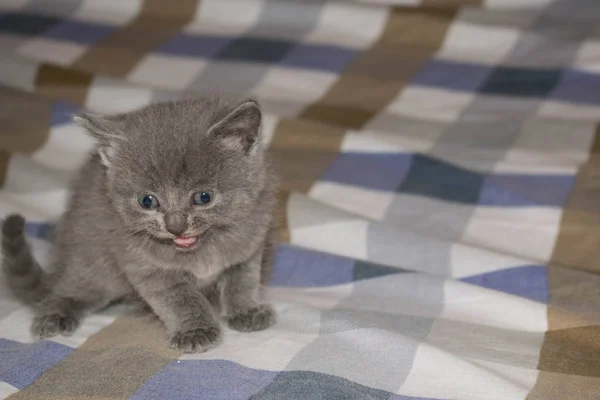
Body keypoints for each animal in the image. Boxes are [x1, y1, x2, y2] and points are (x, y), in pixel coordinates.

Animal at [1, 95, 278, 352]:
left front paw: (246, 311)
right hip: (91, 254)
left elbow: (243, 282)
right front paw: (196, 331)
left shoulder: (250, 247)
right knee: (74, 285)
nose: (175, 226)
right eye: (147, 201)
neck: (201, 250)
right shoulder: (144, 265)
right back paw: (56, 313)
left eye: (203, 197)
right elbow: (180, 299)